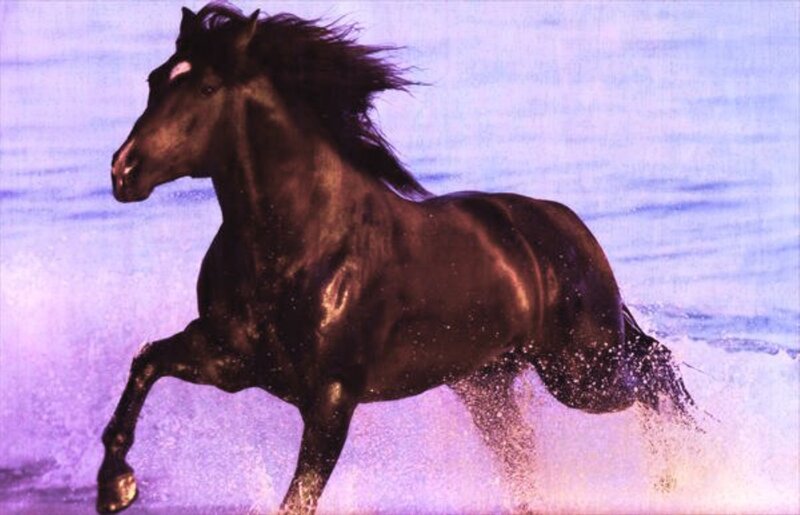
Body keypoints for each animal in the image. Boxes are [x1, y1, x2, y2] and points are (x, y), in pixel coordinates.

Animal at [98, 4, 695, 513]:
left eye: (205, 87)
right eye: (155, 80)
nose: (124, 172)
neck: (302, 245)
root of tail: (567, 225)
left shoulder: (333, 397)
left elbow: (298, 498)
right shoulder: (229, 360)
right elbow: (146, 363)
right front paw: (115, 487)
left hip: (582, 371)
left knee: (656, 369)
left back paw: (677, 476)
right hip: (487, 385)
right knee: (528, 453)